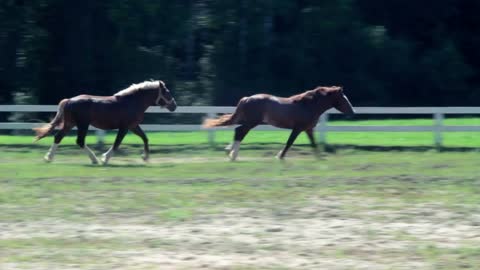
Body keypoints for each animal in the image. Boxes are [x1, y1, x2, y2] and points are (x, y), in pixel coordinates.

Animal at [34, 79, 176, 165]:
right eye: (167, 92)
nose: (174, 106)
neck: (132, 102)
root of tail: (69, 100)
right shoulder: (124, 127)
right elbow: (117, 143)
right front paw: (105, 158)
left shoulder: (133, 126)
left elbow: (145, 138)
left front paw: (145, 157)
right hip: (82, 125)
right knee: (79, 141)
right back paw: (95, 159)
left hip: (70, 124)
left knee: (58, 137)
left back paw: (49, 157)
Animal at [202, 85, 352, 160]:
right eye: (343, 98)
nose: (352, 112)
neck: (308, 105)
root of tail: (247, 98)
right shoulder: (297, 129)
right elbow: (289, 142)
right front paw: (280, 156)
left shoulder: (308, 129)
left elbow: (314, 143)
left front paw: (320, 157)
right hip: (252, 122)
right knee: (240, 132)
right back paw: (232, 155)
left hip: (249, 121)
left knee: (238, 131)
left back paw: (229, 152)